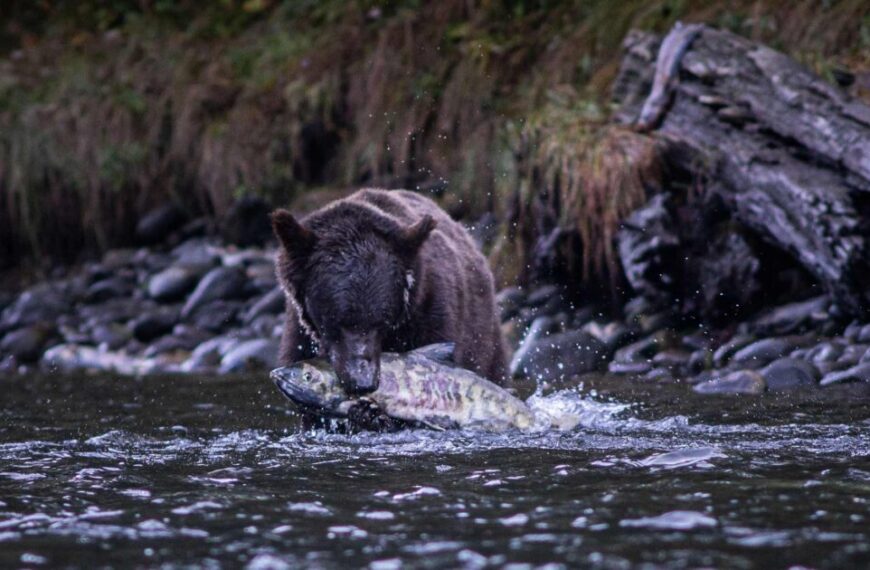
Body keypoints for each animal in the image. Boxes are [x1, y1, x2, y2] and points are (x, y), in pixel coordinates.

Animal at [271, 188, 508, 398]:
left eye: (382, 321)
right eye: (336, 320)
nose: (362, 382)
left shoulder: (431, 317)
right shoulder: (299, 336)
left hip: (485, 338)